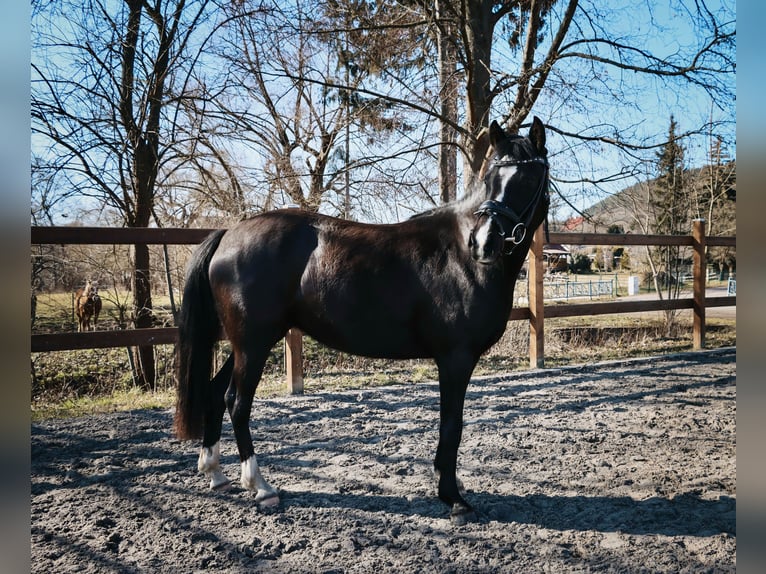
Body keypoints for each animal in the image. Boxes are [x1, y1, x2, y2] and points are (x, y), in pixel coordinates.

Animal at [177, 118, 552, 528]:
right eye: (492, 178)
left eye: (527, 178)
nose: (483, 244)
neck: (460, 258)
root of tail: (229, 234)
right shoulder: (456, 358)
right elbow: (452, 424)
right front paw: (452, 497)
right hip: (253, 343)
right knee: (237, 401)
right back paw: (260, 485)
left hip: (248, 342)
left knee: (215, 393)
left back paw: (215, 473)